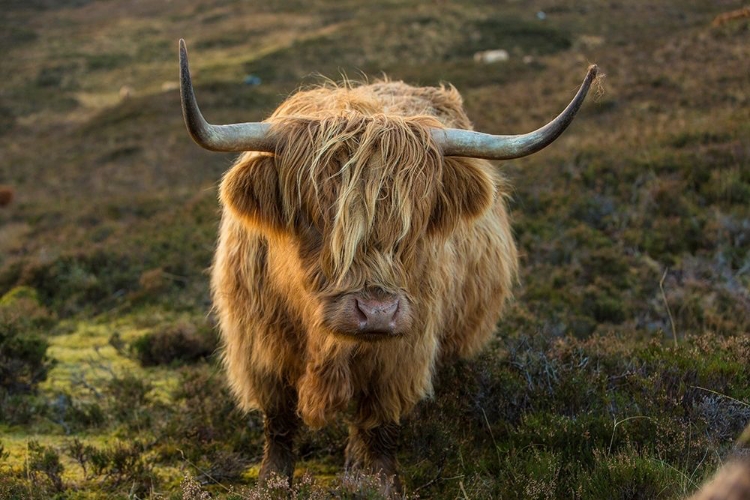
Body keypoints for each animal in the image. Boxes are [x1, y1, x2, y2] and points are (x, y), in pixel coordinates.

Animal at [178, 40, 600, 492]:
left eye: (412, 224)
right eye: (312, 218)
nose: (376, 312)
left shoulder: (401, 353)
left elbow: (379, 424)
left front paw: (379, 482)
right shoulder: (259, 347)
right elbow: (278, 421)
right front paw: (272, 482)